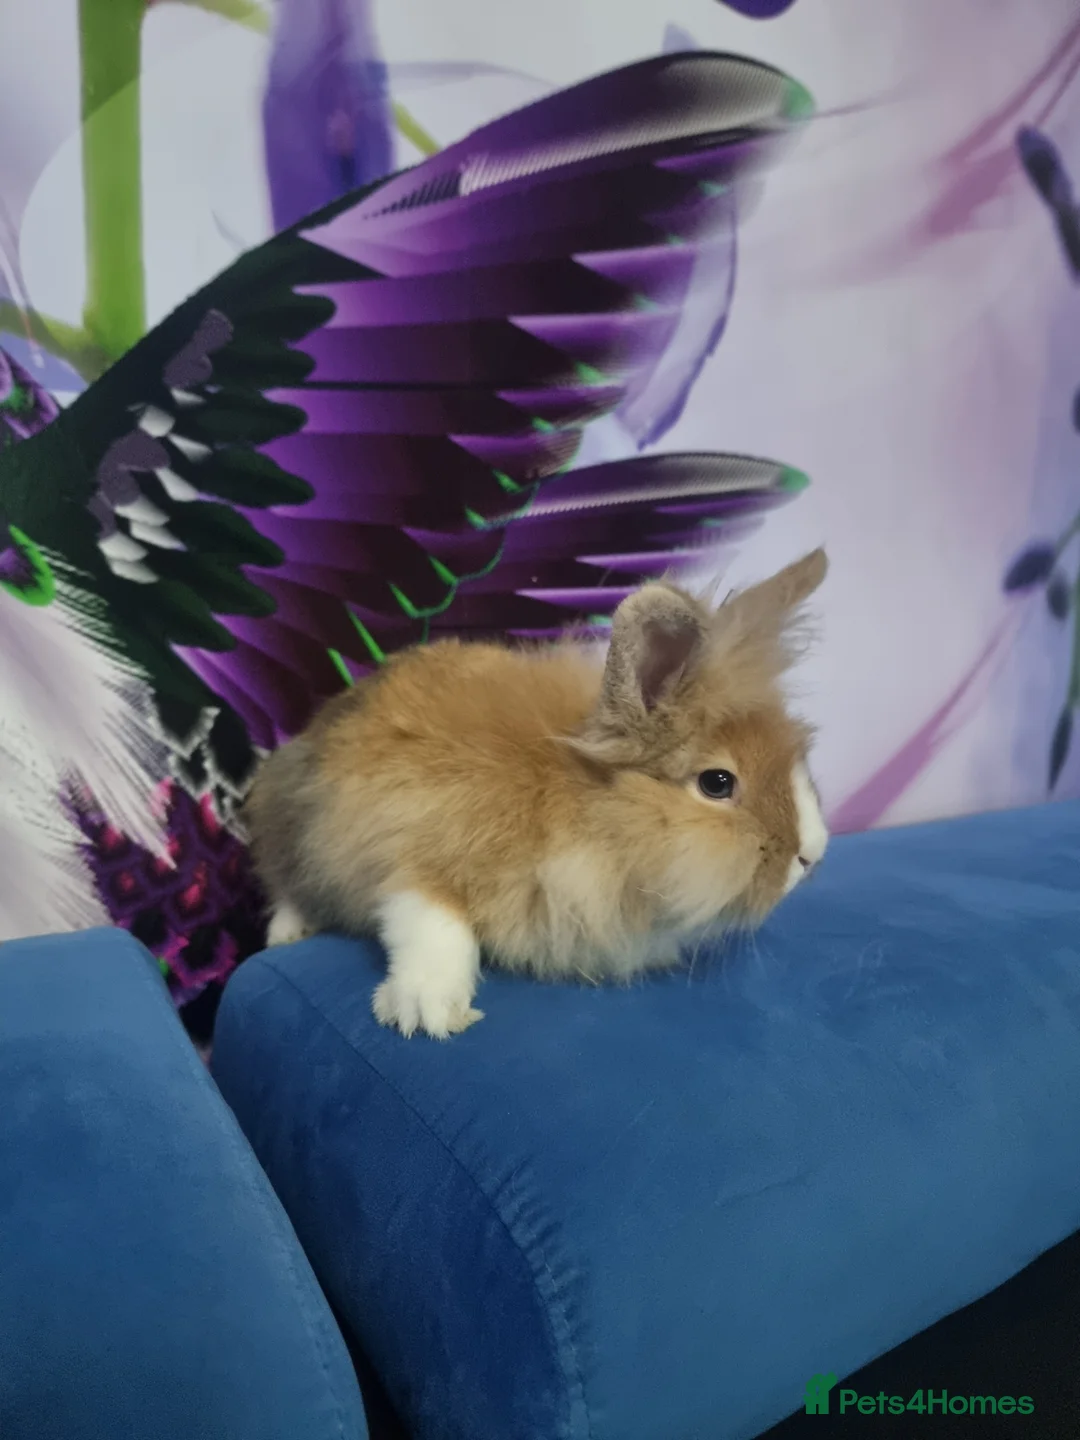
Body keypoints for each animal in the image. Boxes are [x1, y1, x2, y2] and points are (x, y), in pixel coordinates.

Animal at [245, 547, 830, 1038]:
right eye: (717, 783)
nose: (813, 854)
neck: (578, 803)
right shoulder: (410, 840)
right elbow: (433, 920)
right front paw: (428, 1011)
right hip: (291, 811)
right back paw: (287, 933)